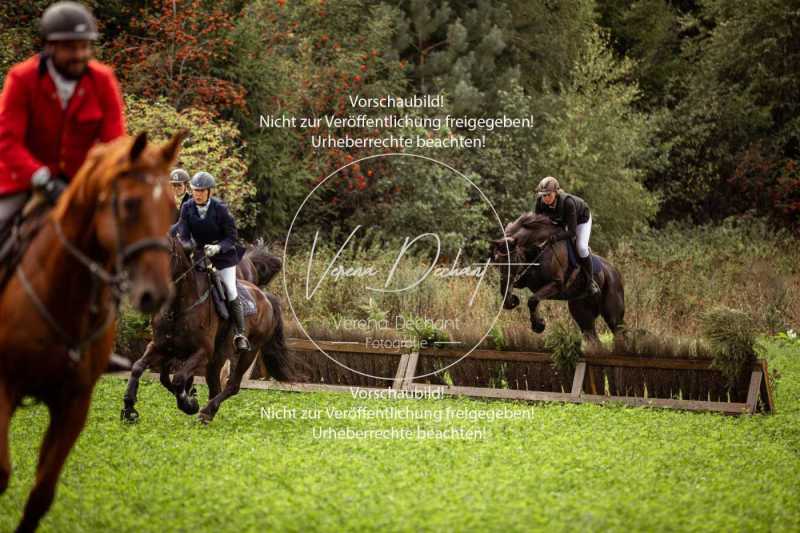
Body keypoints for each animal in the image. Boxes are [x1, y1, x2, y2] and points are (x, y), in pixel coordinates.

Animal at [0, 130, 184, 532]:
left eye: (172, 209)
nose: (155, 293)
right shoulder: (3, 387)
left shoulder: (74, 401)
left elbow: (41, 493)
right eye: (129, 204)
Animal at [488, 214, 624, 348]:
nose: (511, 299)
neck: (538, 247)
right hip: (582, 313)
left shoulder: (556, 284)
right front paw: (511, 301)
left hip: (613, 314)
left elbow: (532, 300)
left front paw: (539, 325)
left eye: (514, 259)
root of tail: (614, 271)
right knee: (593, 338)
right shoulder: (524, 281)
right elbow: (521, 294)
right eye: (497, 259)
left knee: (619, 333)